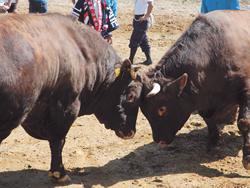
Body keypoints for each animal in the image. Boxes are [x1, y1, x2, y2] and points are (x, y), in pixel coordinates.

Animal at [138, 10, 250, 170]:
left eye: (162, 109)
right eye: (144, 111)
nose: (159, 141)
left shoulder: (245, 89)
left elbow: (244, 122)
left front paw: (247, 156)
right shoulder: (203, 98)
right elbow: (210, 120)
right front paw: (213, 144)